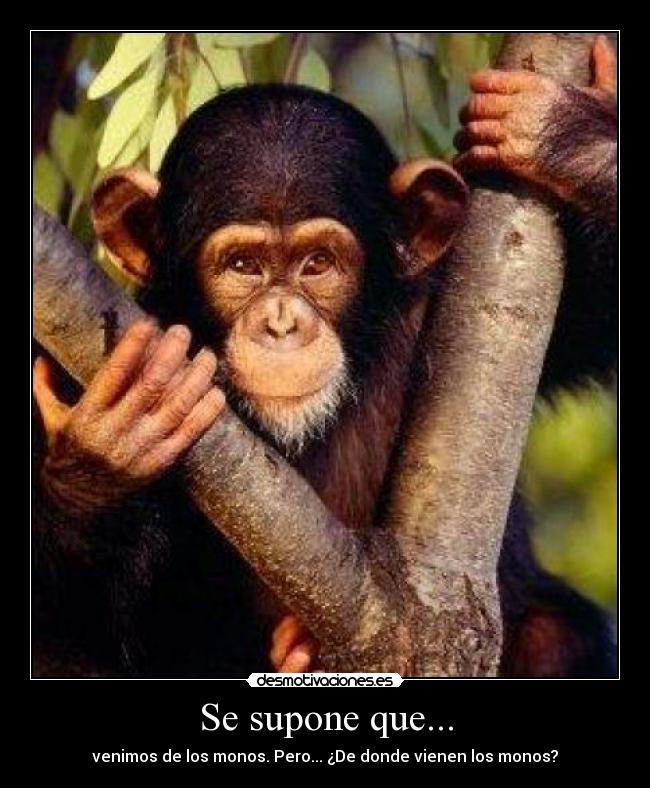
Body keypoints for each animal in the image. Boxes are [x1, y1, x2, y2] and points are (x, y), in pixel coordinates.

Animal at [32, 36, 616, 678]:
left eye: (318, 264)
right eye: (242, 266)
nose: (282, 322)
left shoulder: (461, 302)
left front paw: (572, 135)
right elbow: (64, 632)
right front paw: (106, 452)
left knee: (555, 637)